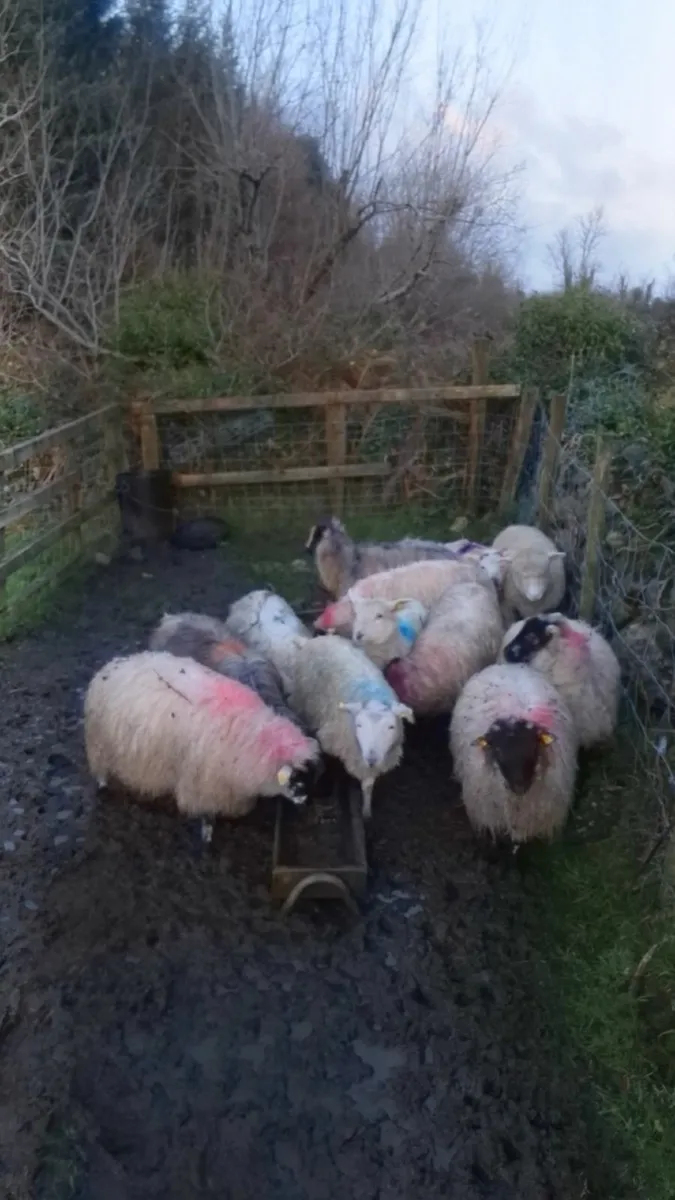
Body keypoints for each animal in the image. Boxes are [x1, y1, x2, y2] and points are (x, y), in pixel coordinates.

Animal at [84, 650, 321, 844]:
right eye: (297, 780)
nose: (306, 802)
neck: (252, 737)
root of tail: (108, 667)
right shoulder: (202, 786)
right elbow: (206, 816)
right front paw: (207, 835)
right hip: (100, 745)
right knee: (101, 771)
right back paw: (103, 785)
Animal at [287, 634, 414, 819]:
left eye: (391, 727)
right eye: (359, 725)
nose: (372, 758)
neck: (373, 698)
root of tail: (316, 639)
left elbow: (368, 786)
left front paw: (366, 812)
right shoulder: (331, 741)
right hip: (302, 699)